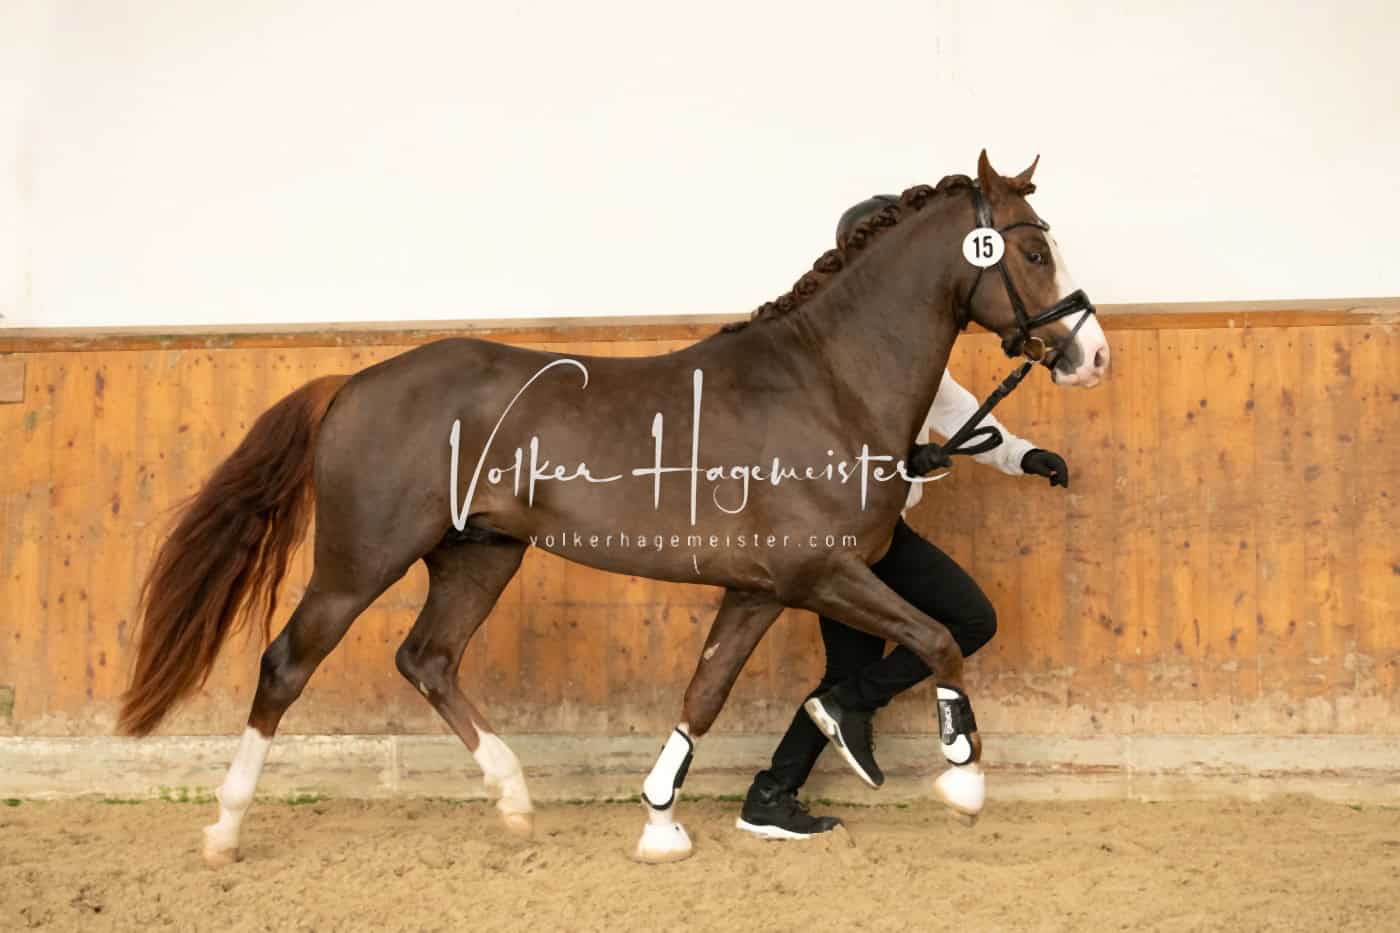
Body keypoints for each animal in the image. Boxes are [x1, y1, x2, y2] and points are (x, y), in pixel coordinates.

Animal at [118, 151, 1110, 866]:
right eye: (1031, 250)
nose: (1092, 353)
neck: (825, 383)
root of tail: (351, 383)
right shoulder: (821, 571)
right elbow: (939, 639)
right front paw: (964, 784)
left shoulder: (761, 589)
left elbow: (705, 692)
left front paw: (660, 823)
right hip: (360, 559)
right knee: (288, 663)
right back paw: (224, 831)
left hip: (480, 554)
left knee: (427, 658)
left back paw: (514, 801)